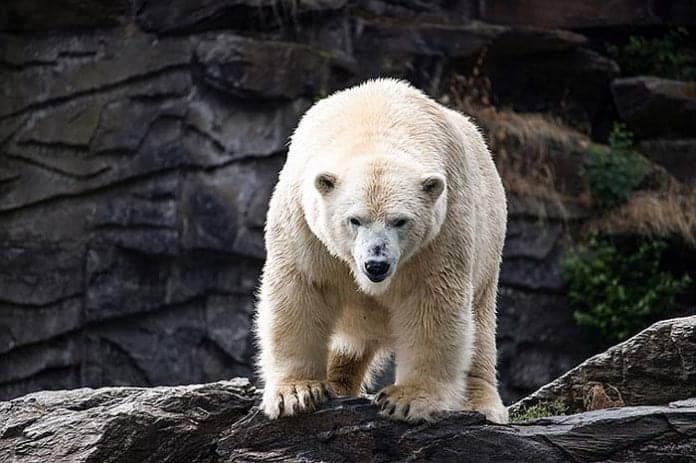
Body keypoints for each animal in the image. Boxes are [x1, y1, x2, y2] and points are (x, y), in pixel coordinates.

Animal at [254, 78, 508, 424]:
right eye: (355, 220)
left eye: (400, 221)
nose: (376, 264)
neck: (375, 120)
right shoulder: (304, 225)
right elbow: (299, 291)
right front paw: (295, 393)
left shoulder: (442, 229)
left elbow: (432, 303)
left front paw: (408, 400)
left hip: (488, 249)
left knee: (480, 329)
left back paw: (481, 404)